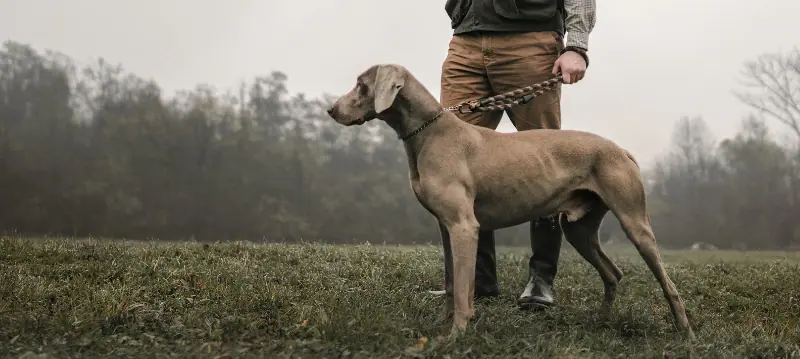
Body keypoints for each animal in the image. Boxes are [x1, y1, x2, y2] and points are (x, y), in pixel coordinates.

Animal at [324, 63, 692, 342]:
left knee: (668, 283)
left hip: (634, 221)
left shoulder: (463, 226)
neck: (428, 133)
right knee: (612, 273)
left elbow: (462, 288)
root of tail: (622, 149)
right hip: (578, 228)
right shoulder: (446, 227)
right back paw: (601, 322)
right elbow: (452, 282)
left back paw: (684, 331)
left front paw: (456, 334)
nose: (331, 109)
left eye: (361, 85)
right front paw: (443, 323)